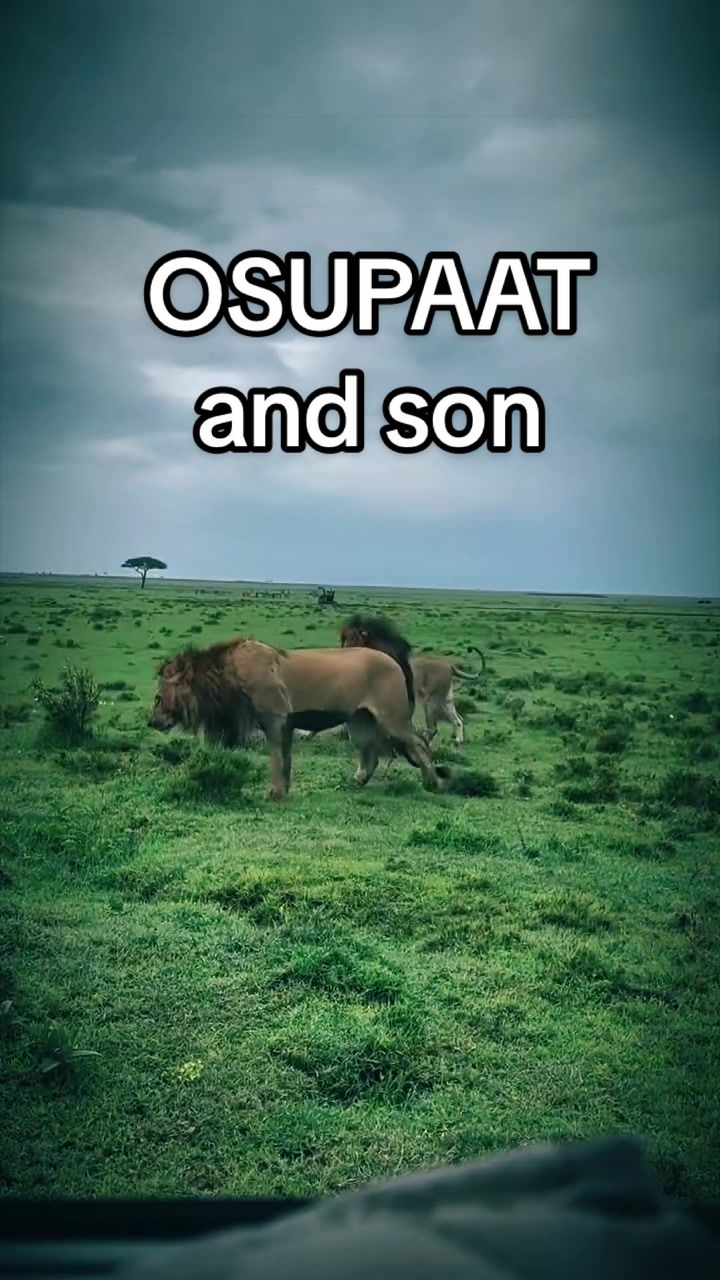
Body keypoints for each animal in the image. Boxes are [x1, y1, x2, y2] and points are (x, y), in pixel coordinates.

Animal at [148, 635, 447, 801]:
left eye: (158, 697)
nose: (151, 722)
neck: (226, 677)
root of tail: (395, 662)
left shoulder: (276, 720)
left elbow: (277, 759)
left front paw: (275, 794)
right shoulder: (286, 723)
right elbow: (286, 760)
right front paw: (285, 790)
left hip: (392, 717)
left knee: (420, 744)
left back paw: (432, 783)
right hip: (359, 720)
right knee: (370, 754)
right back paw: (354, 783)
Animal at [340, 614, 486, 746]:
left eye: (355, 642)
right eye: (345, 642)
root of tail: (450, 666)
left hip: (431, 701)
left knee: (433, 728)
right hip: (445, 700)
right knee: (458, 720)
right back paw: (458, 740)